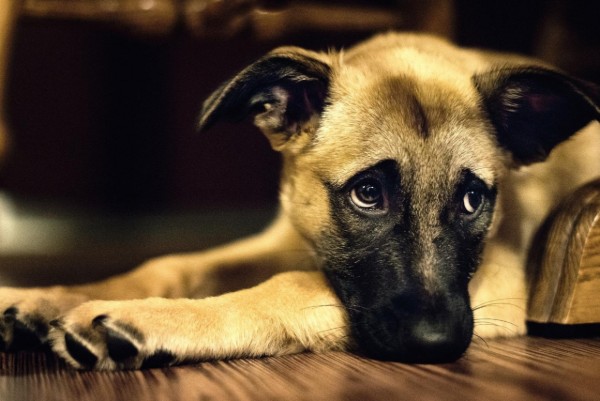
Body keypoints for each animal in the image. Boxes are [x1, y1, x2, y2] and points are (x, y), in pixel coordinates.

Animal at [1, 33, 600, 368]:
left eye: (474, 199)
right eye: (367, 193)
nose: (438, 344)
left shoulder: (499, 285)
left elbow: (288, 288)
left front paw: (150, 319)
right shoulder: (288, 239)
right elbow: (173, 263)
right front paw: (46, 296)